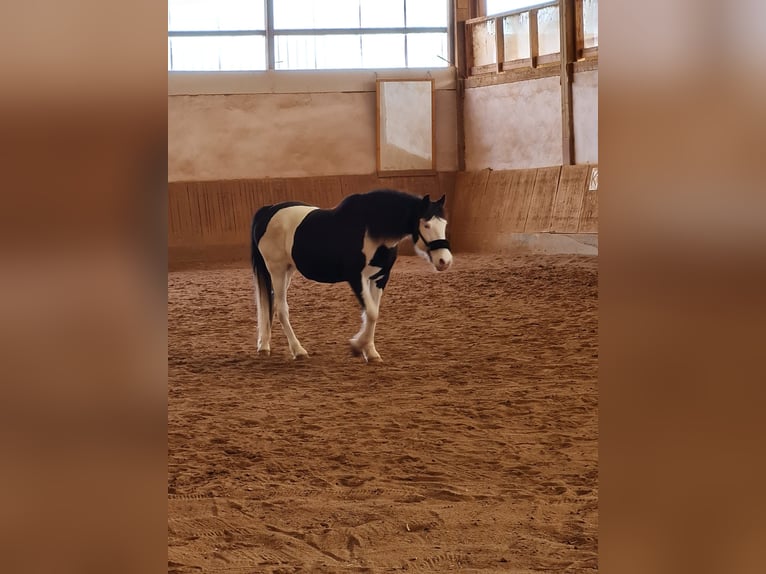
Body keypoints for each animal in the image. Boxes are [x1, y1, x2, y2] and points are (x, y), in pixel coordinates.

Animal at [252, 190, 452, 364]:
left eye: (444, 224)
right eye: (426, 225)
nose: (445, 261)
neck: (370, 229)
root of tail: (267, 211)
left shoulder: (379, 278)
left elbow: (374, 313)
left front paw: (370, 352)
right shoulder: (356, 278)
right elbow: (371, 313)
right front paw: (357, 346)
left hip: (287, 271)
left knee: (271, 305)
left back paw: (264, 345)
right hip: (276, 270)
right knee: (281, 309)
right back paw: (298, 350)